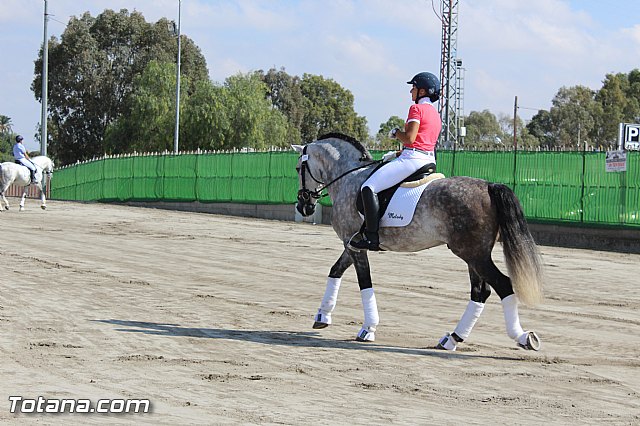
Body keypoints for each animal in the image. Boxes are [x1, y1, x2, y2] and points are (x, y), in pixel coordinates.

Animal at [292, 134, 544, 352]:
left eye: (297, 169)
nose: (304, 206)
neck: (348, 176)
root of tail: (489, 186)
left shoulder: (354, 244)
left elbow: (365, 282)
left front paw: (368, 328)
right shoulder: (351, 243)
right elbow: (335, 270)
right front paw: (323, 315)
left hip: (473, 254)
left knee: (502, 285)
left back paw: (522, 337)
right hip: (475, 255)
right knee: (480, 292)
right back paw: (452, 339)